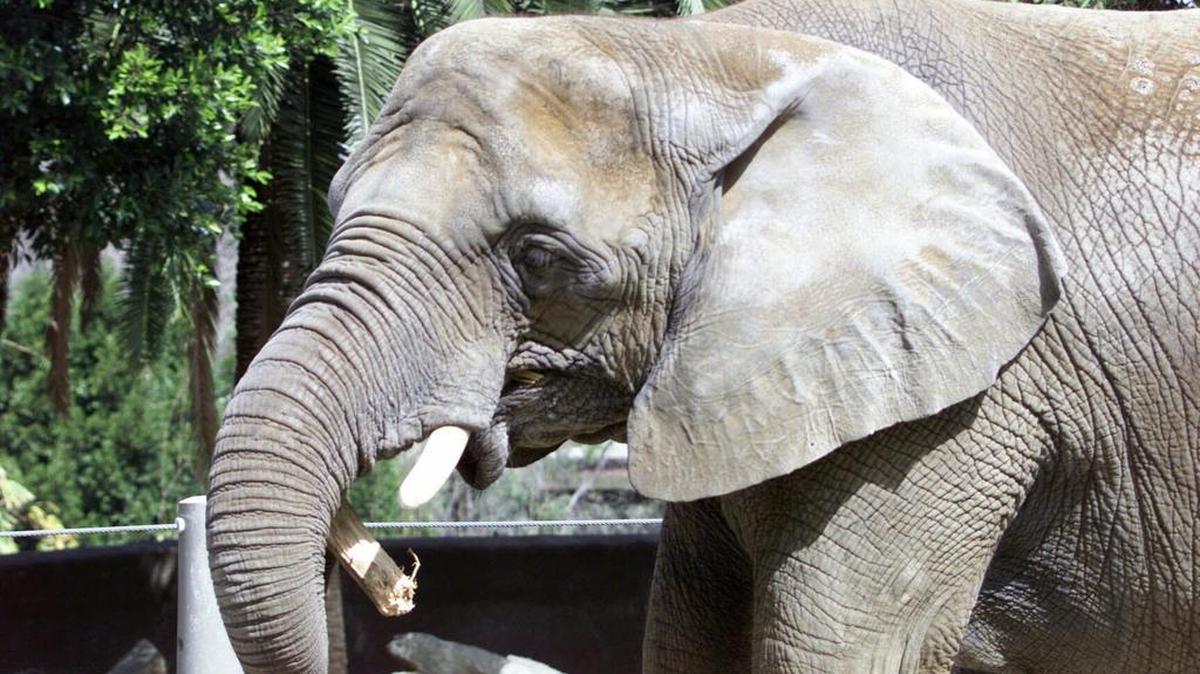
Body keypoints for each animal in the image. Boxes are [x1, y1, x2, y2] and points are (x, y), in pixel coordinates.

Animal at [205, 0, 1200, 672]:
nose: (404, 583)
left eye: (538, 256)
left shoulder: (962, 398)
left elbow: (834, 649)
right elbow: (688, 638)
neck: (711, 57)